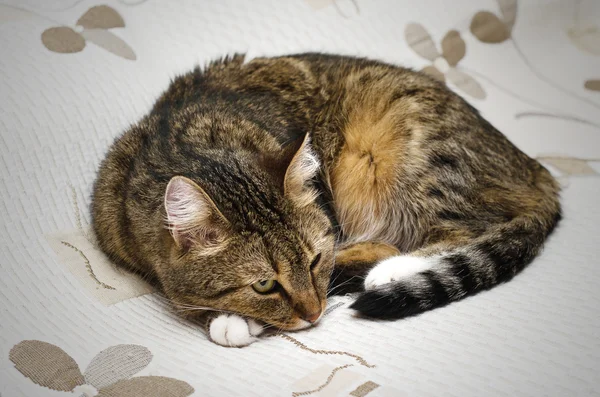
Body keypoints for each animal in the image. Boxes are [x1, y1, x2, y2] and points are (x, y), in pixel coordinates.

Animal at [91, 53, 560, 346]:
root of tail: (530, 165)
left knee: (463, 228)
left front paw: (231, 319)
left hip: (406, 148)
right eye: (264, 283)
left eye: (314, 260)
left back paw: (390, 272)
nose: (315, 313)